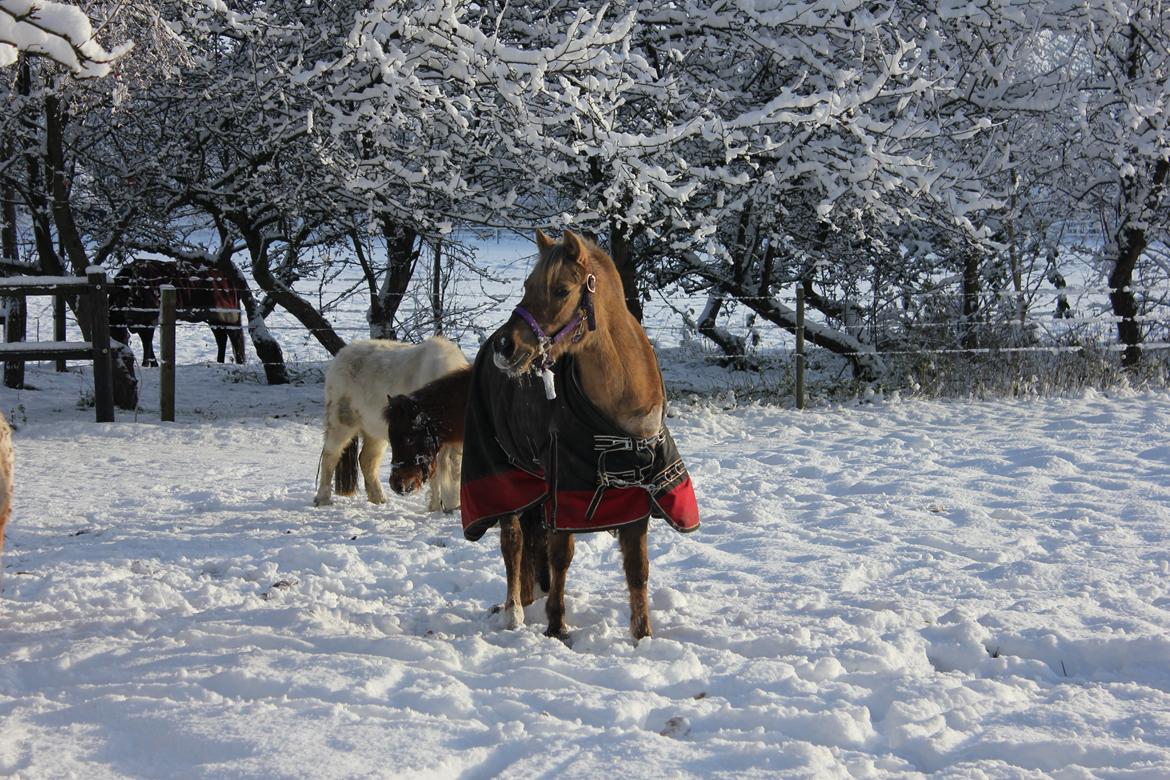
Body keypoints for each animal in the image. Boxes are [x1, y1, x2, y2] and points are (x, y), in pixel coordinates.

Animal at [109, 258, 245, 366]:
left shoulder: (147, 320)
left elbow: (147, 343)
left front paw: (147, 365)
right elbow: (148, 344)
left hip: (226, 315)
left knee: (235, 338)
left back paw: (239, 362)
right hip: (213, 318)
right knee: (221, 339)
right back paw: (220, 362)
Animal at [460, 230, 699, 642]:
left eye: (561, 290)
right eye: (527, 286)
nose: (505, 347)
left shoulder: (634, 497)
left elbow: (637, 568)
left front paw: (642, 635)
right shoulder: (567, 494)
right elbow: (561, 556)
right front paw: (557, 627)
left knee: (530, 538)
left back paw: (529, 599)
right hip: (506, 479)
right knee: (513, 542)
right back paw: (514, 612)